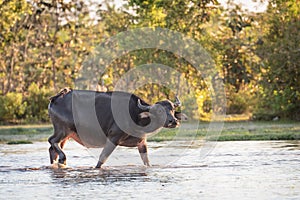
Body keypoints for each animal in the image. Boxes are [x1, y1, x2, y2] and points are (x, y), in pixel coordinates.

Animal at [48, 88, 182, 168]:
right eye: (159, 111)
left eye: (172, 109)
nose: (173, 121)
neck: (136, 115)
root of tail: (56, 98)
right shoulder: (113, 138)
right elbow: (102, 159)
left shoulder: (142, 143)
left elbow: (147, 162)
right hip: (63, 130)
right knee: (52, 141)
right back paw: (63, 159)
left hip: (66, 135)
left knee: (52, 149)